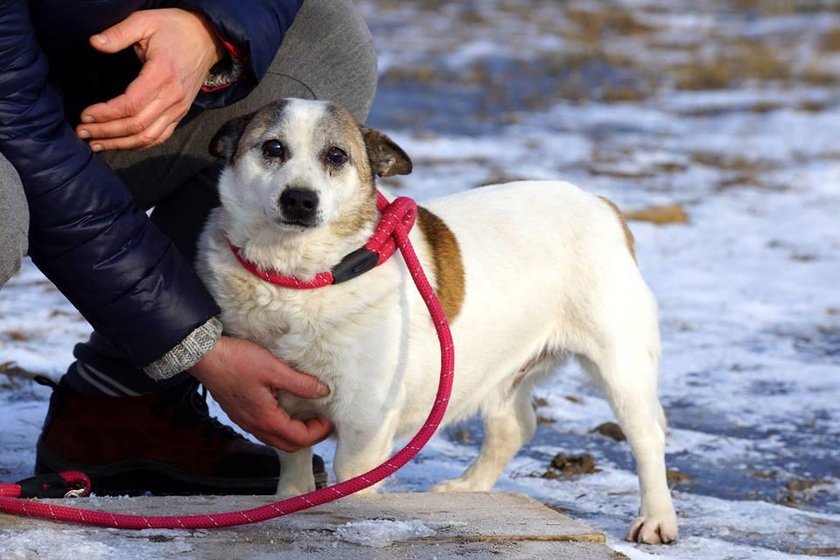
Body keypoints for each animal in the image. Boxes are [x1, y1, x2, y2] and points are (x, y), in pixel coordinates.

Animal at [195, 98, 676, 544]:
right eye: (273, 148)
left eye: (336, 155)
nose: (299, 199)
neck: (298, 279)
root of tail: (601, 204)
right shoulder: (281, 407)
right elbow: (293, 472)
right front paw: (286, 505)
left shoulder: (366, 421)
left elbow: (350, 484)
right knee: (513, 426)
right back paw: (469, 487)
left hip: (620, 365)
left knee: (648, 437)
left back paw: (657, 518)